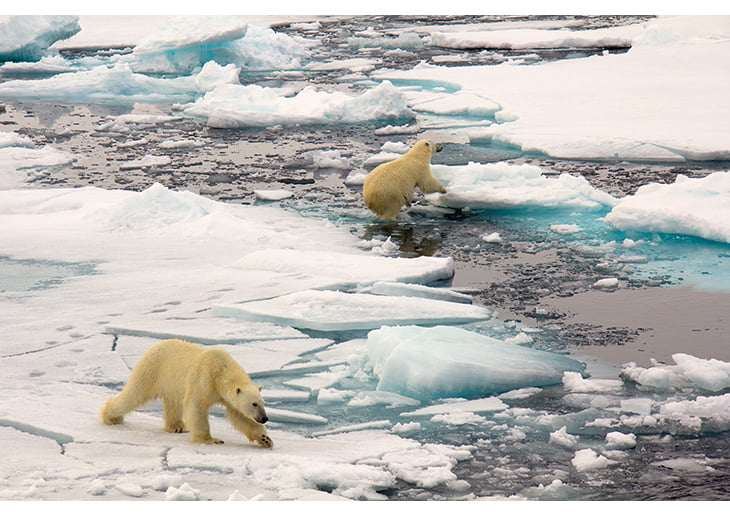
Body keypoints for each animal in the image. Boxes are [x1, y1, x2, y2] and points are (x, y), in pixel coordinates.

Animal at [100, 338, 272, 448]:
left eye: (263, 403)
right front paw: (210, 440)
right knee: (134, 394)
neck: (221, 370)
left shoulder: (226, 395)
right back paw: (111, 417)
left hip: (170, 383)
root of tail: (155, 346)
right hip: (152, 370)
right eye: (254, 404)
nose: (264, 418)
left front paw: (265, 439)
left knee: (174, 402)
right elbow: (196, 405)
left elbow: (240, 415)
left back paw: (177, 427)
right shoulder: (204, 378)